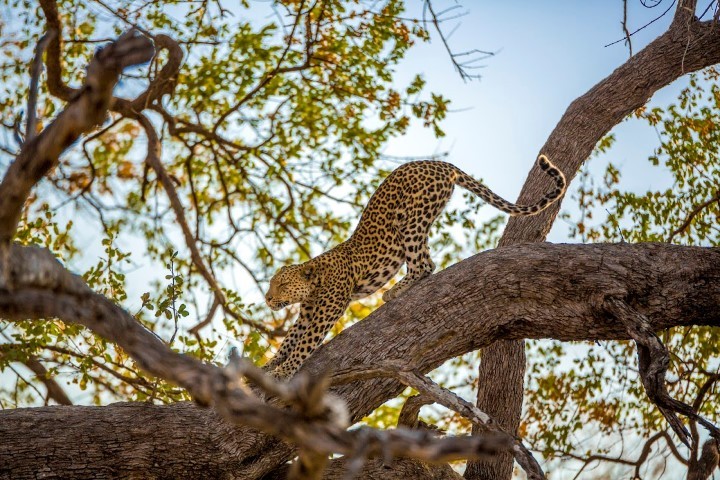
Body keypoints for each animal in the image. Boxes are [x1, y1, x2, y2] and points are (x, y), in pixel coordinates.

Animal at [262, 155, 564, 378]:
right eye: (271, 284)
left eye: (282, 284)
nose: (267, 298)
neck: (315, 280)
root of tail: (438, 163)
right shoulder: (306, 314)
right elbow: (289, 340)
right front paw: (267, 365)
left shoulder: (326, 312)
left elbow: (303, 345)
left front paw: (283, 372)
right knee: (425, 260)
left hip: (412, 220)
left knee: (424, 264)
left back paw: (395, 291)